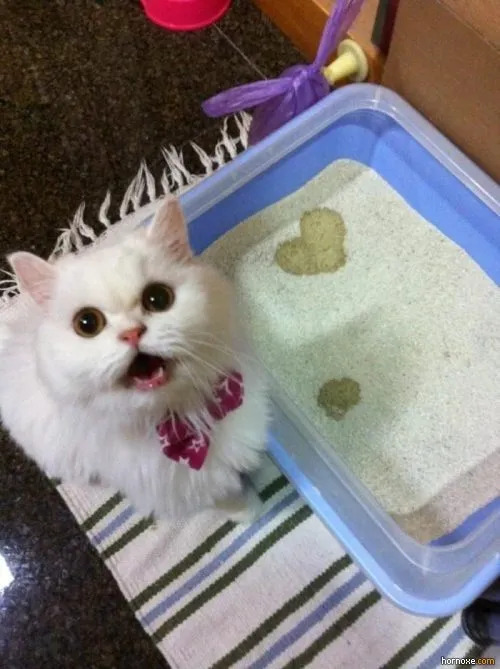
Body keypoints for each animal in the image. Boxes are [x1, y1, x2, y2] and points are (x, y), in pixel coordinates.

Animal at [0, 198, 270, 520]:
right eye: (87, 323)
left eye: (158, 298)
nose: (132, 333)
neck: (180, 418)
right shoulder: (182, 487)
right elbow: (226, 498)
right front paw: (250, 513)